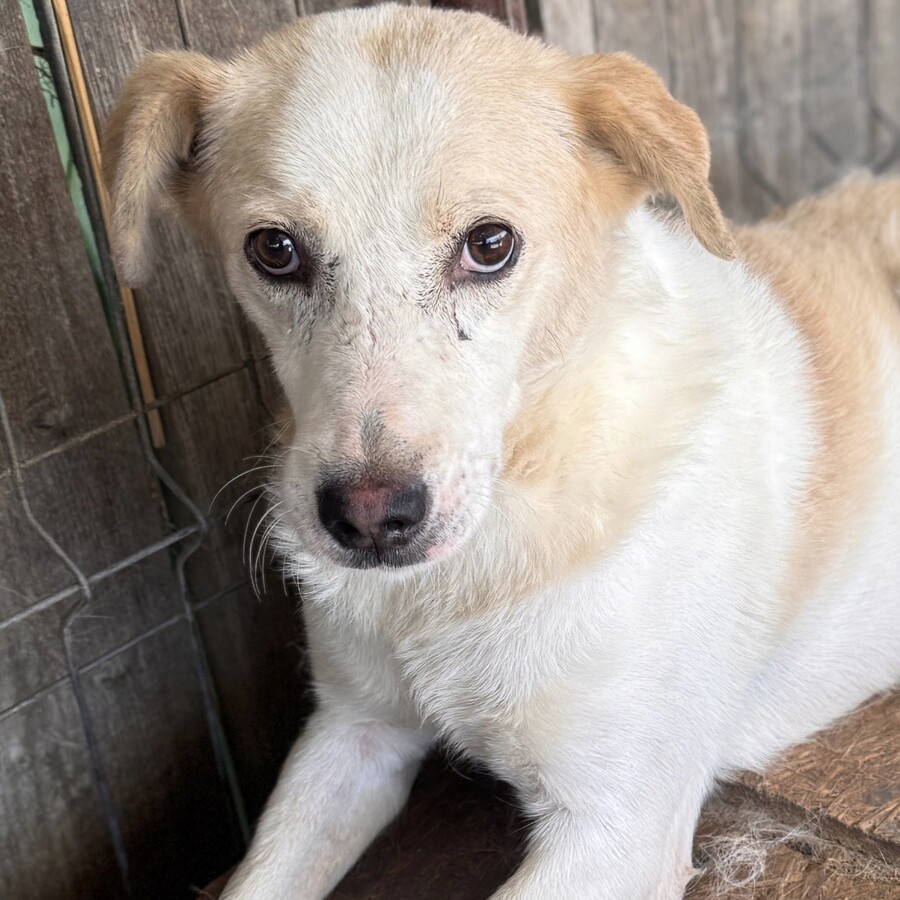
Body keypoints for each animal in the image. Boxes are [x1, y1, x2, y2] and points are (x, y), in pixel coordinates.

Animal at [102, 6, 900, 898]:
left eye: (489, 244)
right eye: (274, 250)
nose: (370, 520)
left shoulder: (617, 827)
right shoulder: (351, 733)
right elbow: (258, 878)